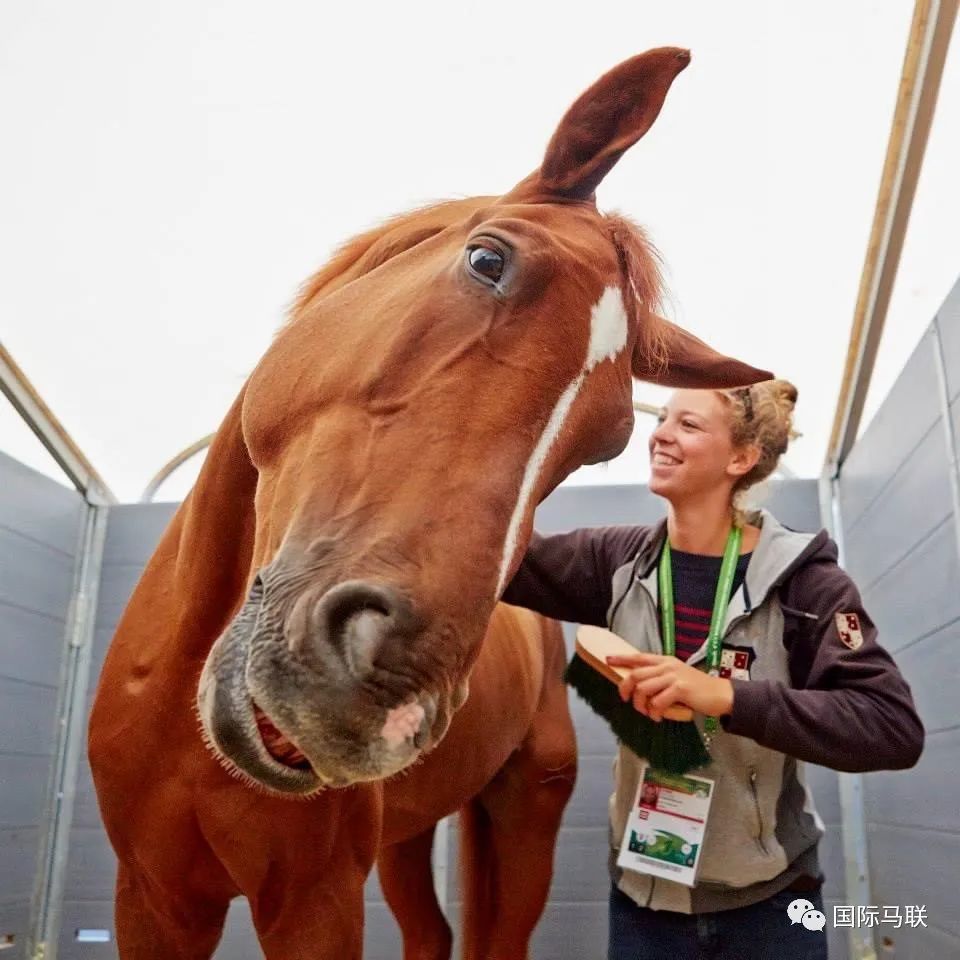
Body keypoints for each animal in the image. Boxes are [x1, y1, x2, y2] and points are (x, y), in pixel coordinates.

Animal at [90, 47, 772, 960]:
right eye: (488, 261)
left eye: (606, 439)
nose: (391, 688)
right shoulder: (152, 899)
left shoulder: (314, 904)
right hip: (406, 839)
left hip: (526, 814)